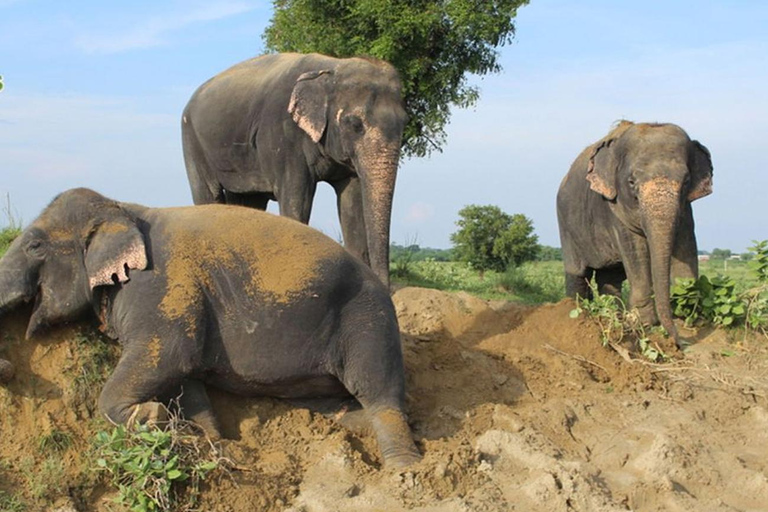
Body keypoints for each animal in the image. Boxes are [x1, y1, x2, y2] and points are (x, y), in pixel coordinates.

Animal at [0, 187, 420, 468]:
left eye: (35, 245)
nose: (10, 369)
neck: (120, 207)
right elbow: (185, 374)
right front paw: (211, 437)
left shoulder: (159, 287)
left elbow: (168, 354)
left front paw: (151, 416)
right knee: (337, 405)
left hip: (368, 321)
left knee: (378, 392)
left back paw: (403, 470)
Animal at [182, 53, 408, 286]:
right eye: (355, 124)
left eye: (405, 122)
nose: (386, 288)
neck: (332, 66)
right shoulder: (284, 137)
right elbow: (296, 199)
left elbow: (350, 204)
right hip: (192, 141)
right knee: (209, 195)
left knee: (249, 202)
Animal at [560, 120, 712, 346]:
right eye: (631, 182)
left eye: (686, 181)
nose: (678, 342)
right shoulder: (615, 209)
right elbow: (636, 250)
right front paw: (645, 324)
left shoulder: (685, 211)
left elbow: (686, 246)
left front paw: (689, 316)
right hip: (566, 227)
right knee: (577, 274)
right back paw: (576, 311)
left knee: (610, 277)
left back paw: (613, 316)